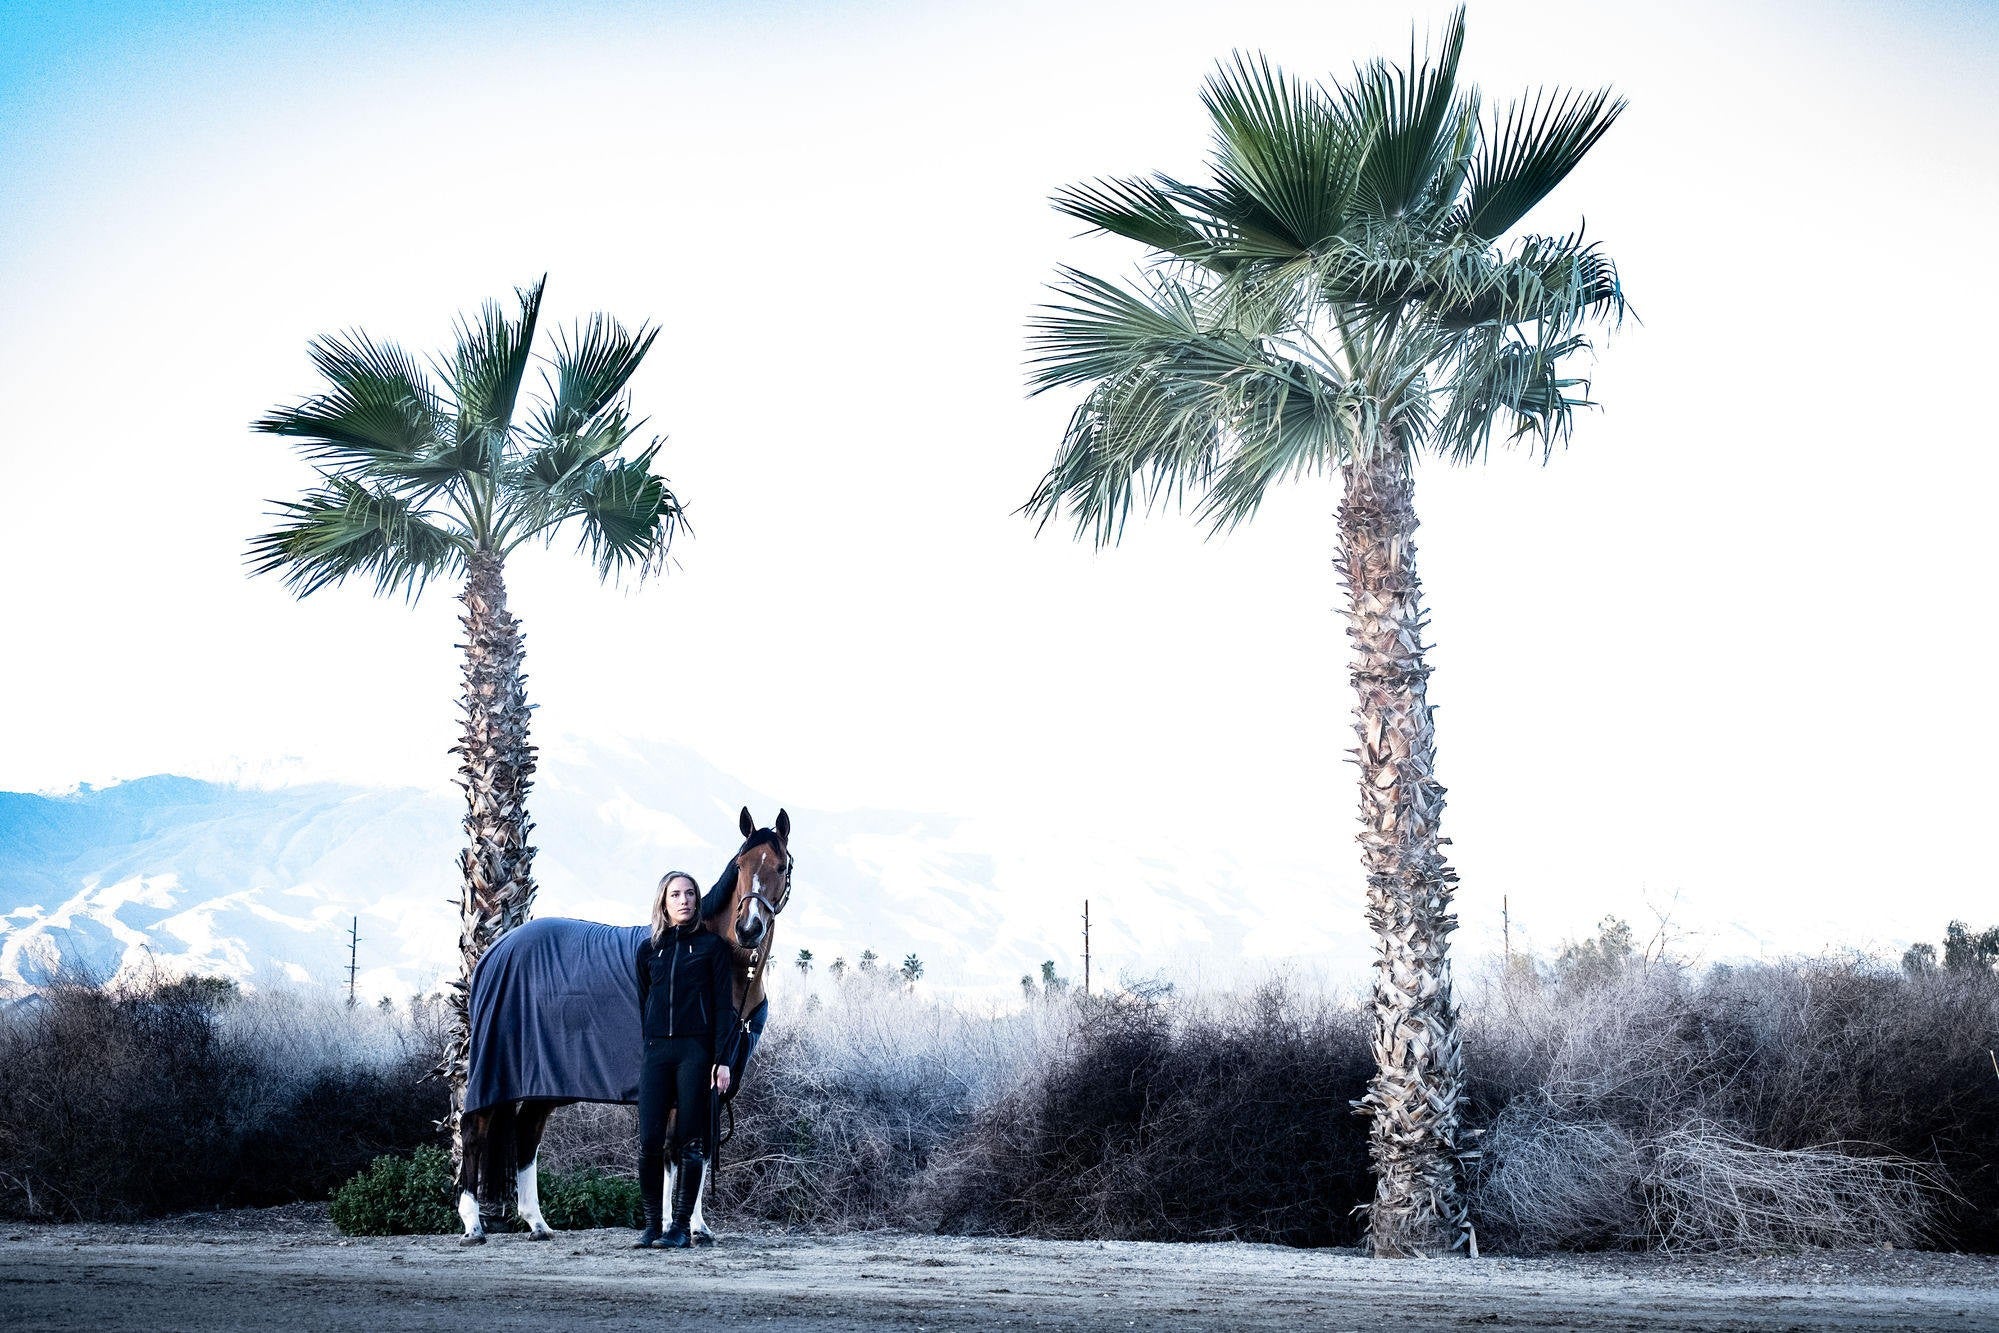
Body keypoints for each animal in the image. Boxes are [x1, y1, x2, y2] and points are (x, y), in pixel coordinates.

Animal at [454, 806, 794, 1245]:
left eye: (782, 866)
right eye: (740, 865)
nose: (749, 929)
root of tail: (494, 951)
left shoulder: (717, 1079)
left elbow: (698, 1146)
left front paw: (696, 1226)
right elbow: (672, 1151)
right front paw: (671, 1224)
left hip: (541, 1081)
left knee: (527, 1131)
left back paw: (537, 1223)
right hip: (495, 1071)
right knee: (474, 1130)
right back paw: (472, 1224)